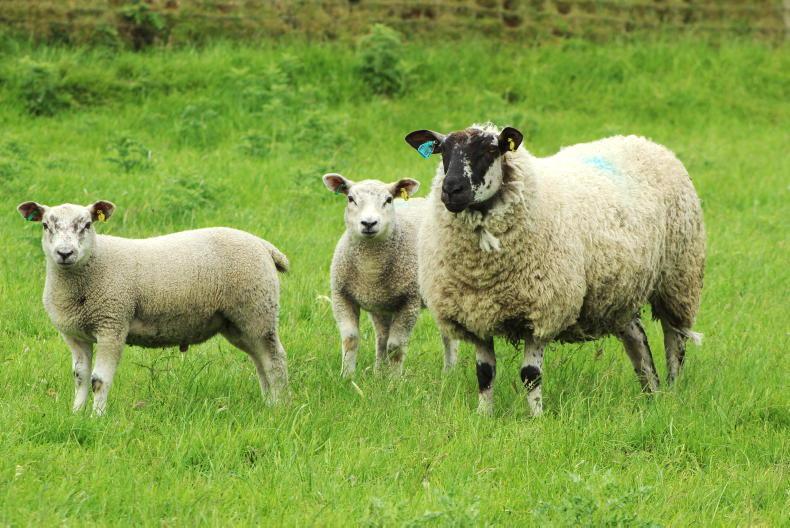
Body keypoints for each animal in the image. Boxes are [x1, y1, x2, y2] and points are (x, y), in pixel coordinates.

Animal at [16, 200, 289, 415]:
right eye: (45, 225)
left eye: (87, 225)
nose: (65, 253)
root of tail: (263, 245)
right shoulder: (74, 335)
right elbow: (80, 378)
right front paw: (76, 414)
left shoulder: (112, 324)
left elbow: (98, 381)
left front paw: (97, 418)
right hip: (238, 322)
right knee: (260, 361)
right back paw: (268, 402)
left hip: (257, 310)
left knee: (274, 360)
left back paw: (279, 406)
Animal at [322, 174, 458, 377]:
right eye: (351, 199)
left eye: (388, 200)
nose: (369, 223)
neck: (370, 266)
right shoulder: (342, 296)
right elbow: (350, 339)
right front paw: (347, 376)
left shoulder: (409, 301)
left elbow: (396, 346)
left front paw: (394, 380)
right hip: (382, 303)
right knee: (381, 337)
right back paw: (378, 372)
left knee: (448, 335)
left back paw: (449, 371)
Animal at [404, 124, 705, 416]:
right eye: (442, 151)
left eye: (491, 150)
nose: (451, 190)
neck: (483, 272)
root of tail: (643, 141)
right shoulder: (475, 314)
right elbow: (485, 374)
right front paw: (483, 416)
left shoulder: (545, 310)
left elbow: (530, 375)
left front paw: (536, 418)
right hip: (618, 293)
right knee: (636, 338)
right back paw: (651, 393)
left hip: (679, 279)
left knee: (675, 342)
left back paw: (672, 390)